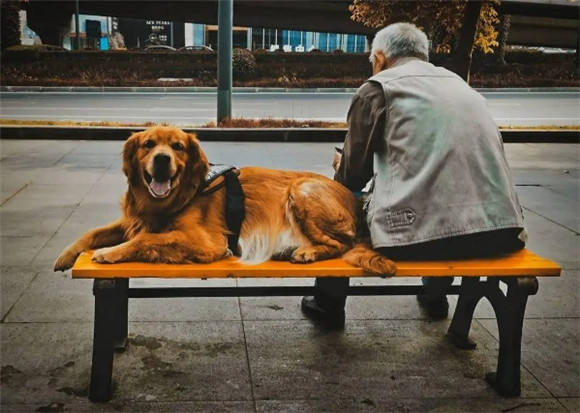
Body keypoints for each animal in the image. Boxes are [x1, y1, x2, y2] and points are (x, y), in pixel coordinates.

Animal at [54, 124, 396, 276]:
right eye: (148, 144)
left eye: (178, 147)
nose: (162, 160)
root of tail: (356, 202)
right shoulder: (132, 220)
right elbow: (93, 232)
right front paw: (67, 254)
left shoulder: (207, 242)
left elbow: (147, 239)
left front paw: (109, 252)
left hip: (302, 189)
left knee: (342, 244)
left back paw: (307, 251)